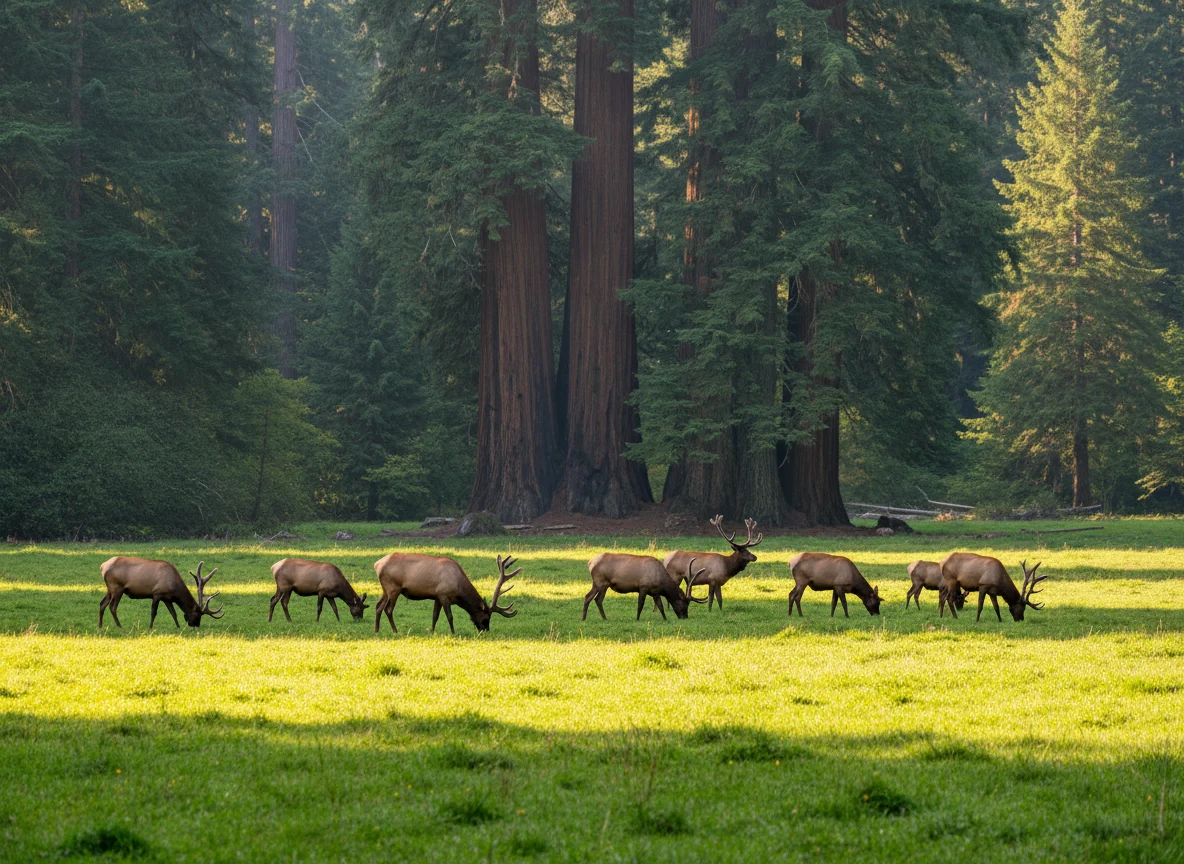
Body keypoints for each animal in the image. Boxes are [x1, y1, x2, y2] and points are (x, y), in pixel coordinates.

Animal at [372, 552, 518, 634]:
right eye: (486, 618)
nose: (486, 631)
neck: (459, 589)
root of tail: (376, 564)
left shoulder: (436, 596)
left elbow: (435, 616)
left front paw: (432, 631)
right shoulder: (443, 595)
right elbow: (450, 616)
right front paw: (453, 632)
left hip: (385, 589)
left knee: (378, 605)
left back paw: (376, 630)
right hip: (394, 588)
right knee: (388, 609)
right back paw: (395, 631)